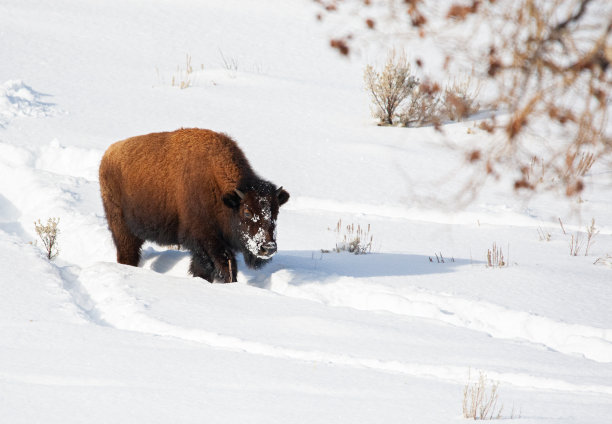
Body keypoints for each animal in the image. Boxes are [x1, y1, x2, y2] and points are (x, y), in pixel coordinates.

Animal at [99, 127, 290, 284]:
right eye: (247, 212)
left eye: (276, 212)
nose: (268, 248)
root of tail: (108, 155)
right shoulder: (205, 240)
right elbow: (220, 267)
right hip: (122, 228)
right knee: (127, 252)